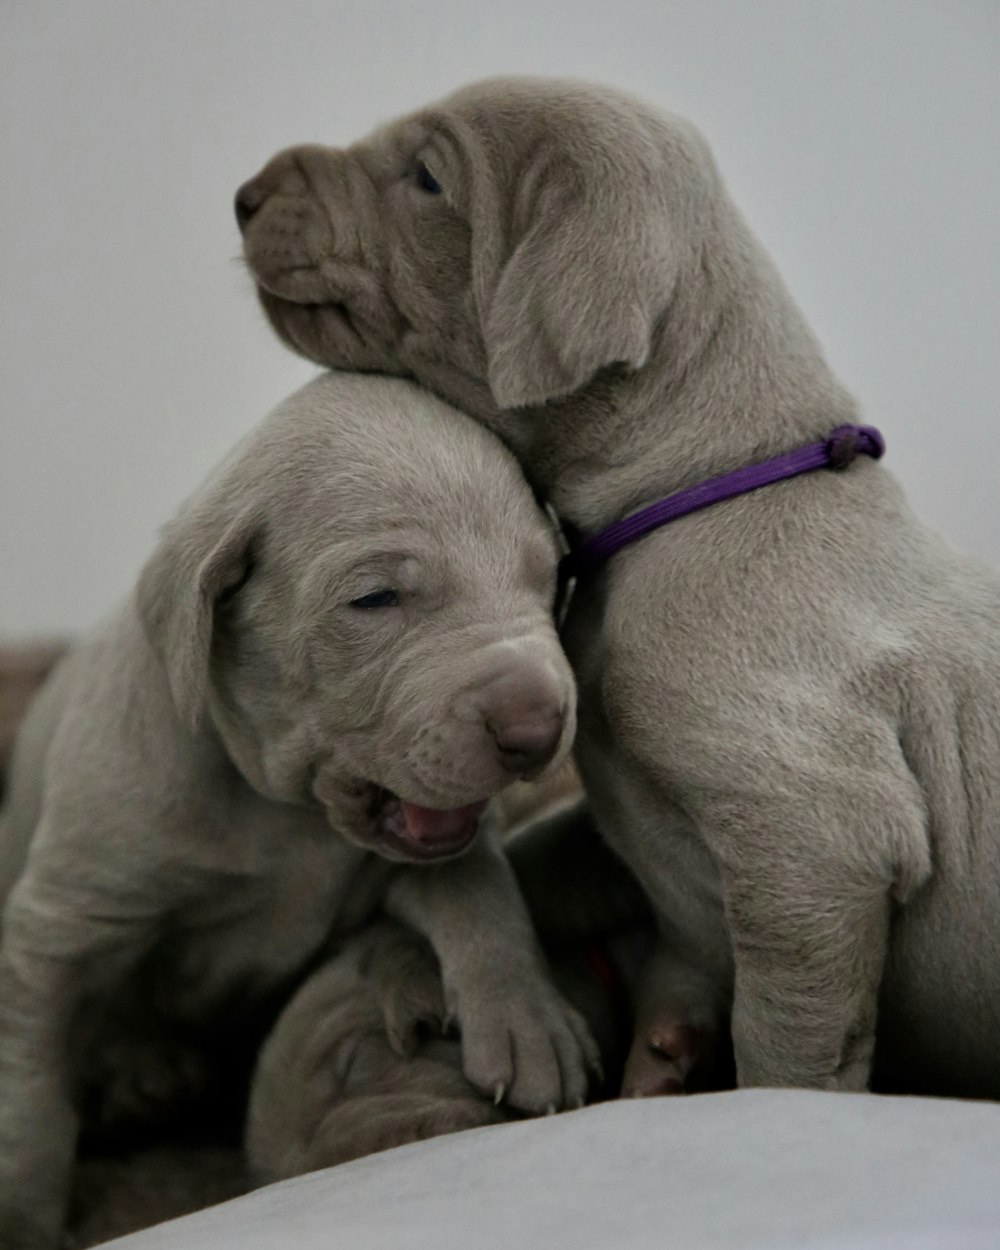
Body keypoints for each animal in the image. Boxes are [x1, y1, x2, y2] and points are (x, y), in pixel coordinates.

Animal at [0, 370, 597, 1250]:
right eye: (376, 598)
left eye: (552, 579)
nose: (537, 729)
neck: (286, 817)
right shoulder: (60, 927)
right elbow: (30, 1090)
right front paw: (22, 1216)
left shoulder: (420, 853)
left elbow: (481, 890)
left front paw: (530, 1020)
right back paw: (144, 1074)